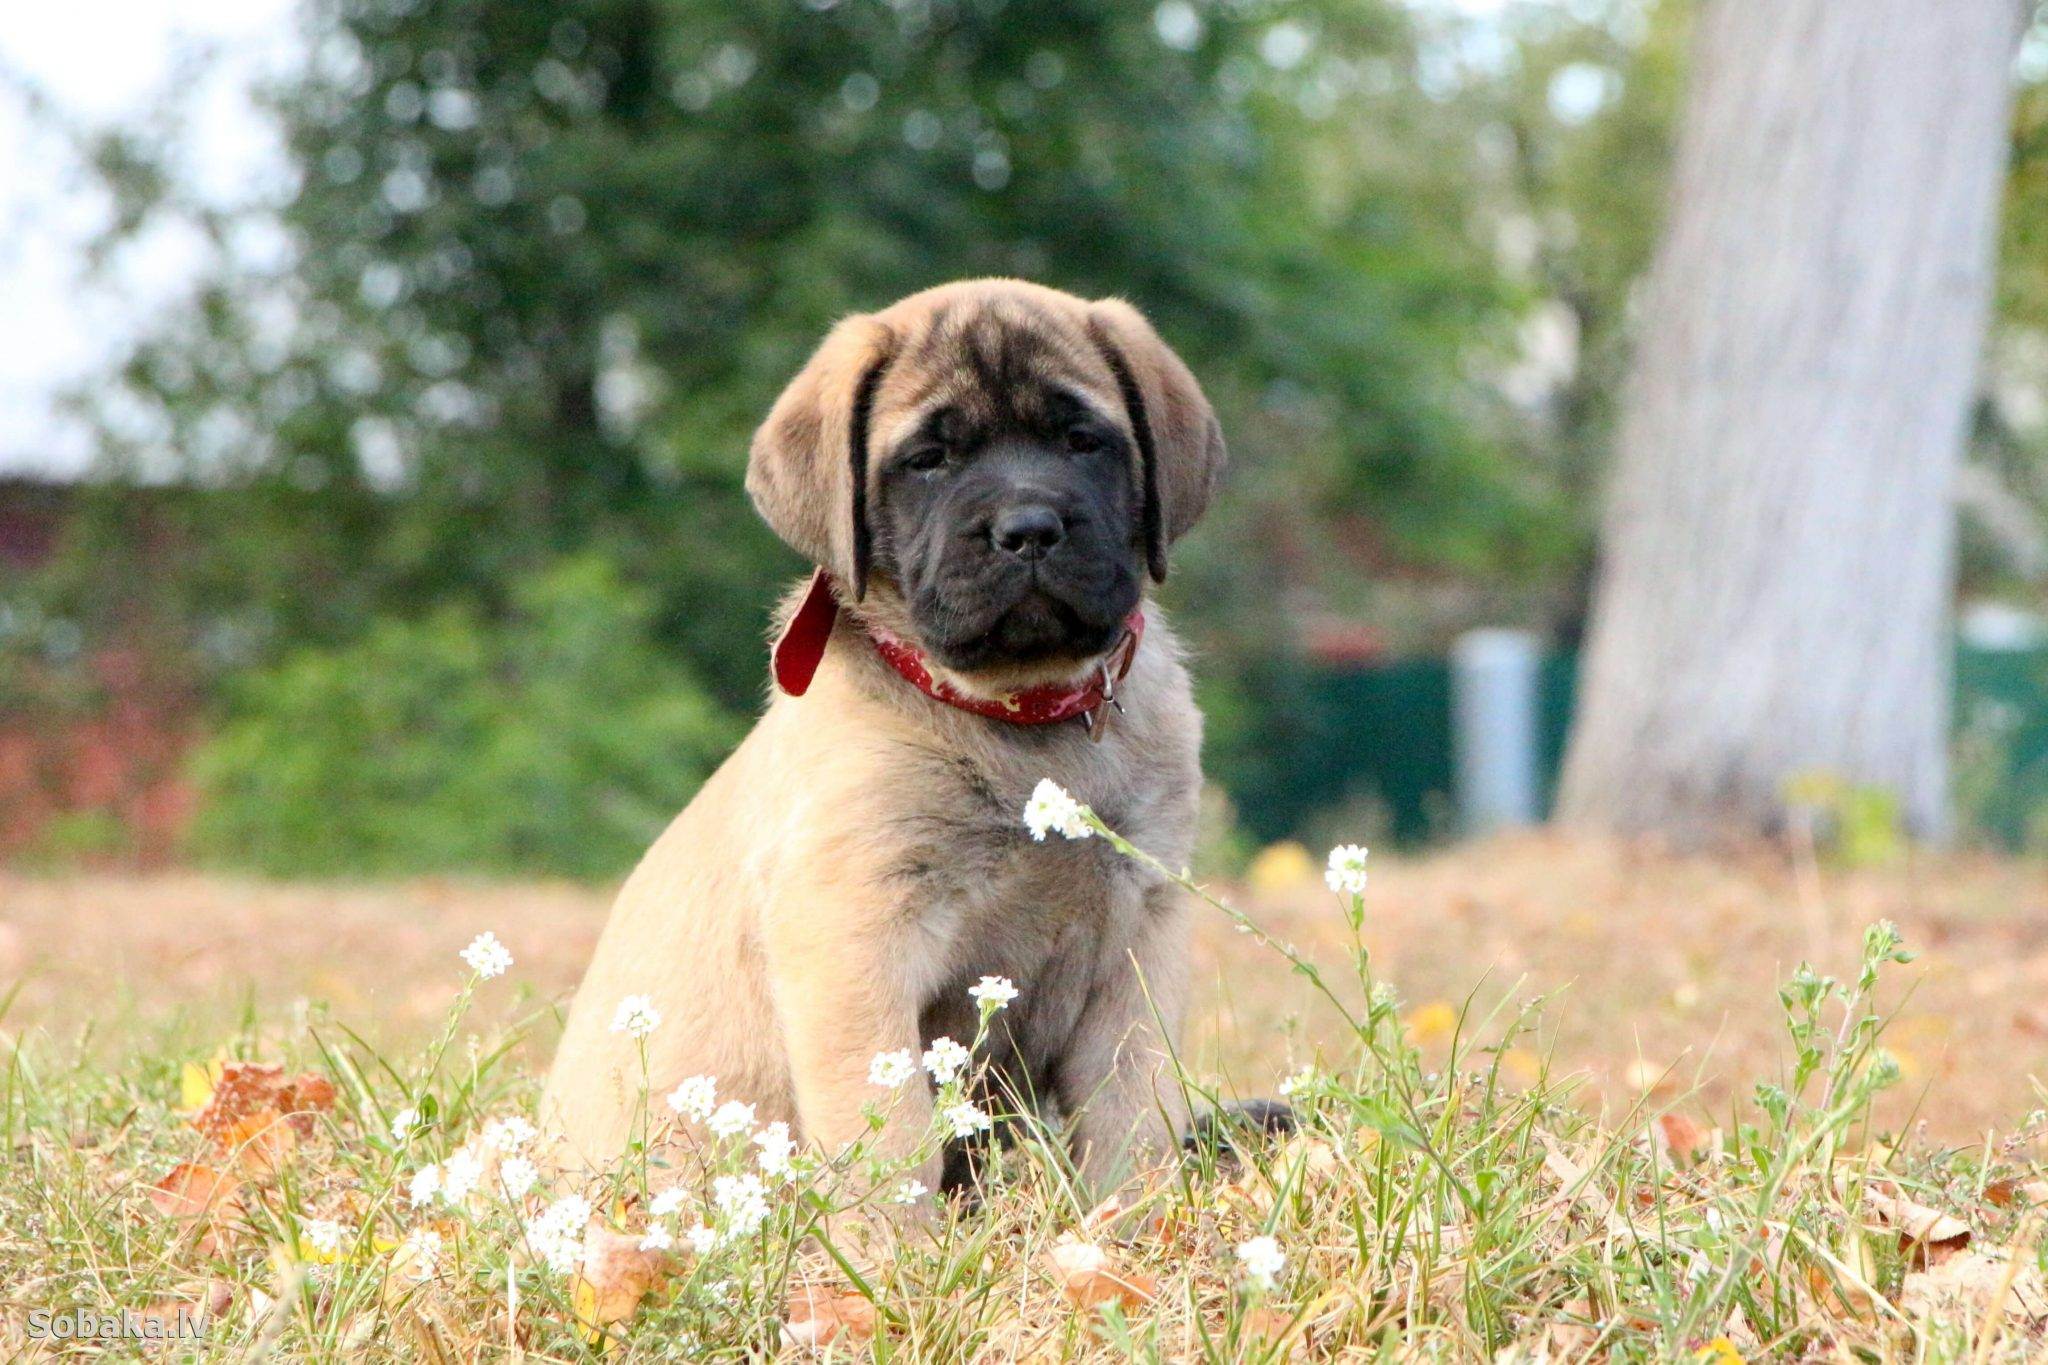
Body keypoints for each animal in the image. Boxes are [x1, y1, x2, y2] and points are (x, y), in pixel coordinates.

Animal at [536, 278, 1220, 1195]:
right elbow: (893, 1137)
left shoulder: (1140, 937)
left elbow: (1131, 1121)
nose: (1029, 527)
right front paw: (891, 1234)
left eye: (1082, 442)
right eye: (928, 460)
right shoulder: (857, 938)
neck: (1021, 717)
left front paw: (1130, 1219)